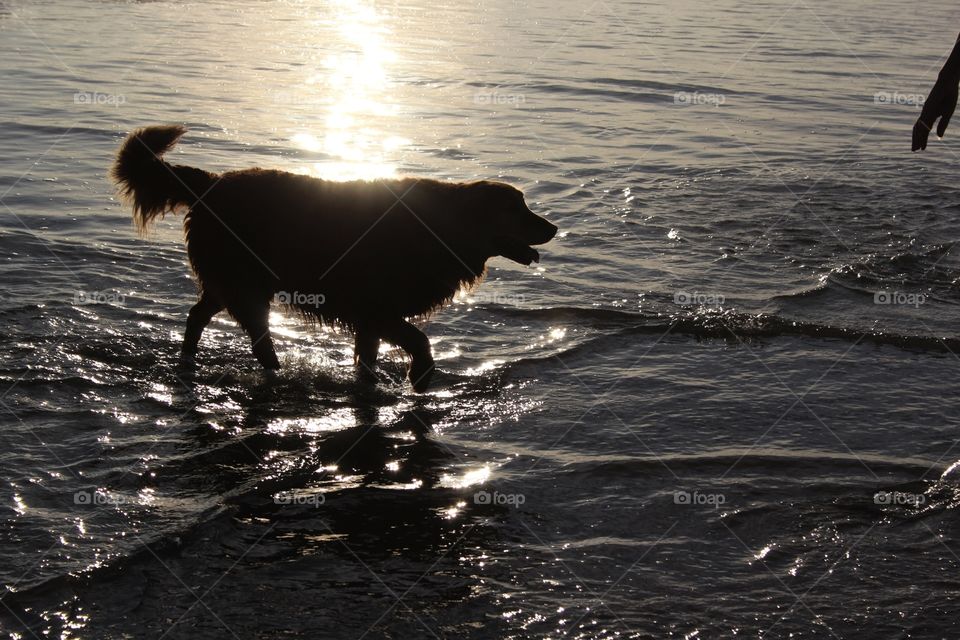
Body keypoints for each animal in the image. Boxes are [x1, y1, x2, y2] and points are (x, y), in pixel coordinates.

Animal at [109, 126, 560, 390]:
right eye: (518, 208)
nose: (554, 228)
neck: (446, 226)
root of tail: (212, 182)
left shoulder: (371, 319)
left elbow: (369, 357)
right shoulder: (375, 308)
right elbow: (419, 340)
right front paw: (421, 375)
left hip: (233, 281)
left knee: (197, 316)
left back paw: (191, 359)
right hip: (245, 283)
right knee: (255, 336)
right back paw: (273, 371)